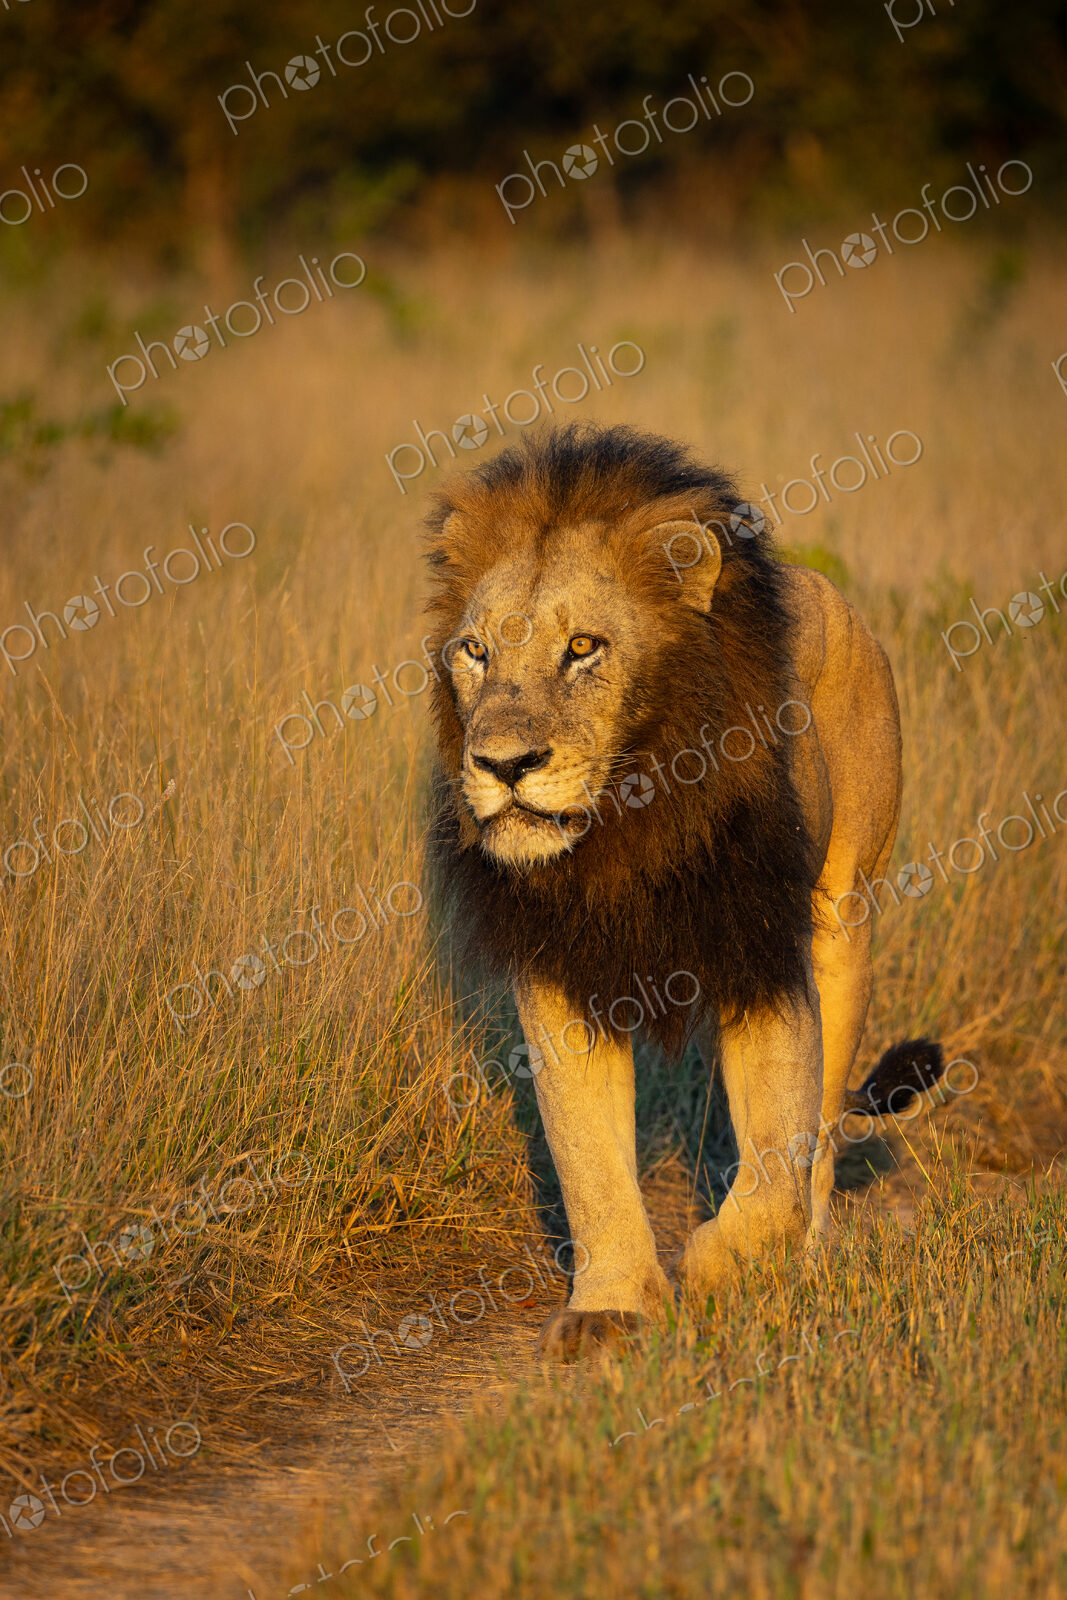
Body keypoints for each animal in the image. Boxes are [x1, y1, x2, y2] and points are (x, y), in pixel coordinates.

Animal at [424, 423, 944, 1361]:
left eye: (582, 648)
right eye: (475, 651)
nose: (502, 764)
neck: (627, 821)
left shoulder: (762, 952)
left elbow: (778, 1148)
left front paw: (723, 1267)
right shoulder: (562, 975)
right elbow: (588, 1162)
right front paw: (611, 1307)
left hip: (844, 914)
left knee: (819, 1134)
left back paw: (803, 1261)